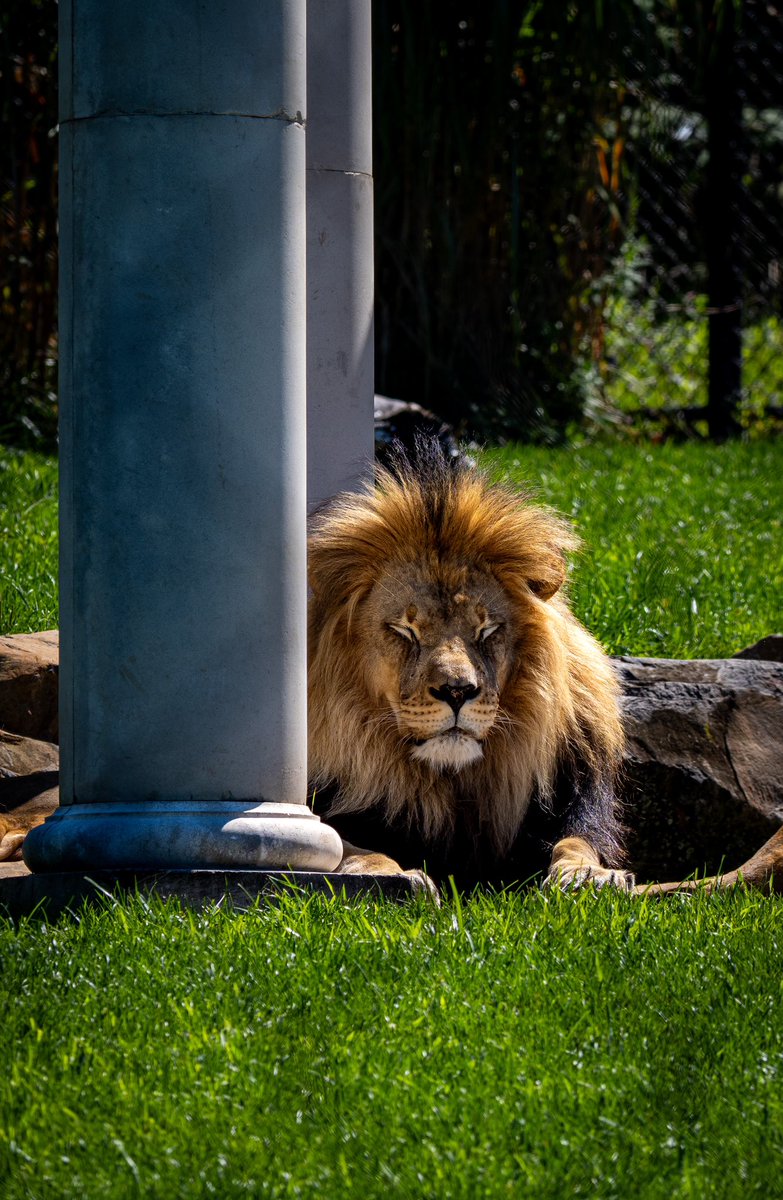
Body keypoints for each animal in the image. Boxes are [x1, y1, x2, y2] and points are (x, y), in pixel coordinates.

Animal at [308, 441, 634, 893]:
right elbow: (343, 842)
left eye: (487, 629)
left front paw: (587, 875)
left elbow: (576, 840)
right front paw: (389, 873)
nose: (457, 691)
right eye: (405, 630)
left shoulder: (576, 793)